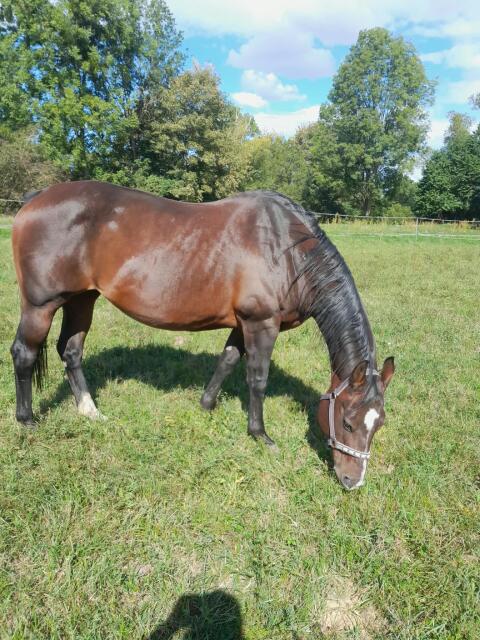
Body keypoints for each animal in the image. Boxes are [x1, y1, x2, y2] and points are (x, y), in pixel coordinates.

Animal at [10, 181, 395, 490]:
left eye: (378, 424)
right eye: (347, 422)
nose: (352, 481)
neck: (286, 249)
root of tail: (34, 200)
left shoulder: (242, 323)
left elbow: (227, 361)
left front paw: (206, 405)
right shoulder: (261, 323)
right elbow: (258, 379)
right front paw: (261, 435)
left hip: (82, 299)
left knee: (71, 351)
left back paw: (89, 411)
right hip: (41, 305)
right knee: (24, 353)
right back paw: (27, 421)